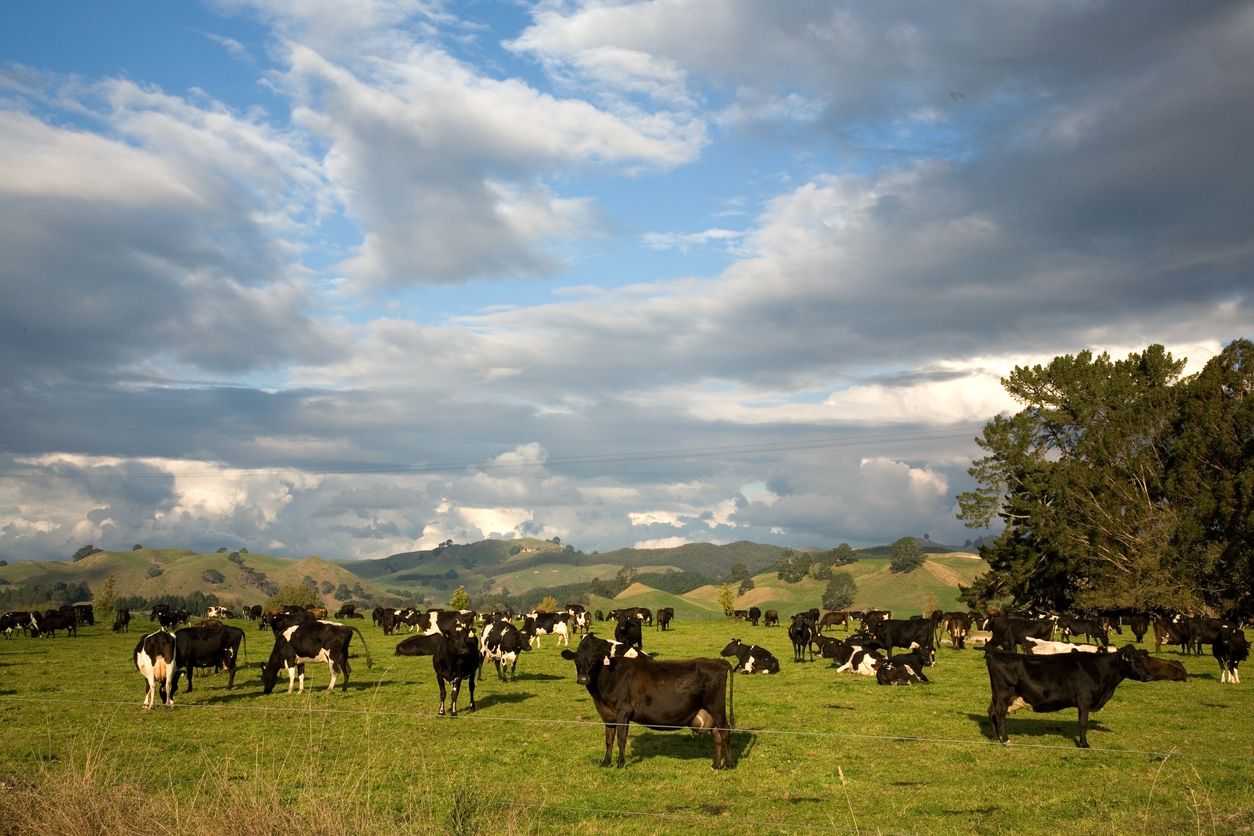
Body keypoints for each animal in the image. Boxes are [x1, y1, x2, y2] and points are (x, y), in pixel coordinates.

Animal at [559, 634, 732, 772]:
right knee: (717, 736)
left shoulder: (623, 711)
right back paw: (715, 765)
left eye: (594, 660)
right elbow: (609, 740)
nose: (583, 679)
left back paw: (728, 765)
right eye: (576, 660)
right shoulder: (607, 714)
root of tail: (718, 661)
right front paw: (605, 763)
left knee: (725, 732)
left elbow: (621, 739)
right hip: (710, 712)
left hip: (717, 708)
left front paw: (621, 764)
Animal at [983, 646, 1148, 747]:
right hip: (1004, 692)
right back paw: (1006, 740)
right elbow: (1083, 722)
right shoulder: (1084, 699)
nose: (1147, 675)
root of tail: (996, 654)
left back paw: (995, 737)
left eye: (1141, 658)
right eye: (1132, 659)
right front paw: (1084, 744)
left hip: (996, 694)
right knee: (1000, 714)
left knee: (991, 712)